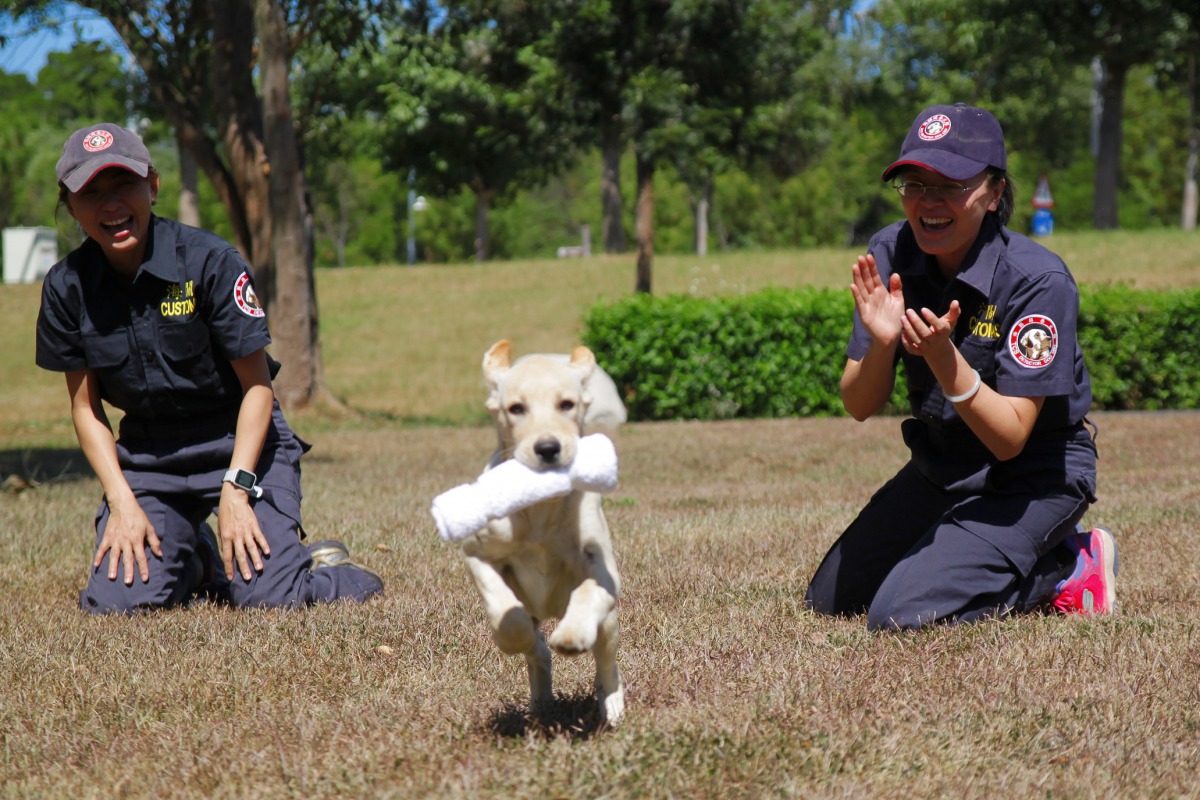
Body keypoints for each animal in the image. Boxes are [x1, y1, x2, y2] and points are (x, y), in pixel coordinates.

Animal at [456, 338, 628, 724]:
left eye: (567, 404)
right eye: (516, 408)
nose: (548, 448)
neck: (540, 507)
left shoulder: (603, 567)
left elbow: (589, 591)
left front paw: (571, 635)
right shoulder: (477, 553)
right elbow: (506, 611)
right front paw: (519, 640)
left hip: (609, 625)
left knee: (606, 664)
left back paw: (611, 705)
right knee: (539, 656)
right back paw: (540, 700)